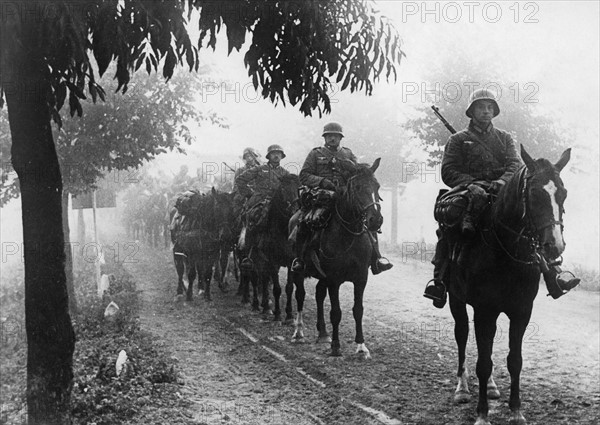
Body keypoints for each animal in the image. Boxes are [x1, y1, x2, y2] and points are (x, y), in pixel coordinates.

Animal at [237, 173, 298, 318]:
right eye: (283, 189)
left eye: (299, 188)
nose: (295, 210)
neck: (283, 232)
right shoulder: (272, 262)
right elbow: (276, 288)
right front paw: (278, 315)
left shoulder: (290, 262)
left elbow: (289, 288)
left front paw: (289, 314)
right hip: (252, 259)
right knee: (252, 278)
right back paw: (252, 302)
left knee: (263, 280)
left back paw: (266, 305)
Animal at [288, 159, 382, 358]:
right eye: (358, 187)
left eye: (376, 186)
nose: (376, 220)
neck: (348, 235)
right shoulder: (334, 280)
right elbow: (336, 312)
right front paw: (336, 347)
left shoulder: (361, 278)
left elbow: (358, 310)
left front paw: (361, 346)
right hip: (299, 271)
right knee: (300, 295)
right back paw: (298, 332)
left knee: (318, 294)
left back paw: (323, 333)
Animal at [446, 147, 572, 424]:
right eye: (534, 194)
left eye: (563, 193)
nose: (554, 245)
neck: (504, 251)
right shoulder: (485, 311)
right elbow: (483, 363)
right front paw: (482, 414)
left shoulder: (521, 312)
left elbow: (515, 360)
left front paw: (516, 410)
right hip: (456, 301)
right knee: (462, 335)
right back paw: (462, 388)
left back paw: (492, 387)